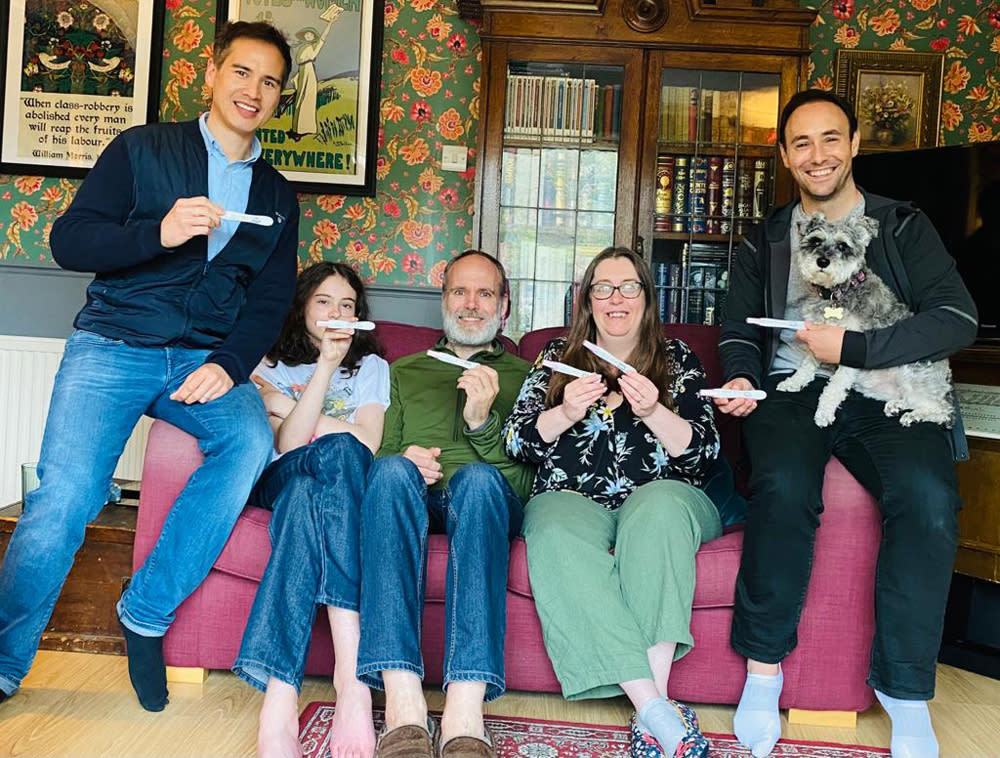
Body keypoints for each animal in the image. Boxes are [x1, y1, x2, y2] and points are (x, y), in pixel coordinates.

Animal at [776, 212, 948, 428]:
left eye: (843, 246)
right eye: (816, 241)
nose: (822, 261)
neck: (837, 293)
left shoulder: (847, 346)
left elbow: (836, 385)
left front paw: (824, 412)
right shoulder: (816, 338)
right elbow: (807, 364)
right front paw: (793, 382)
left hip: (912, 373)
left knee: (942, 410)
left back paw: (914, 415)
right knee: (911, 399)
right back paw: (896, 406)